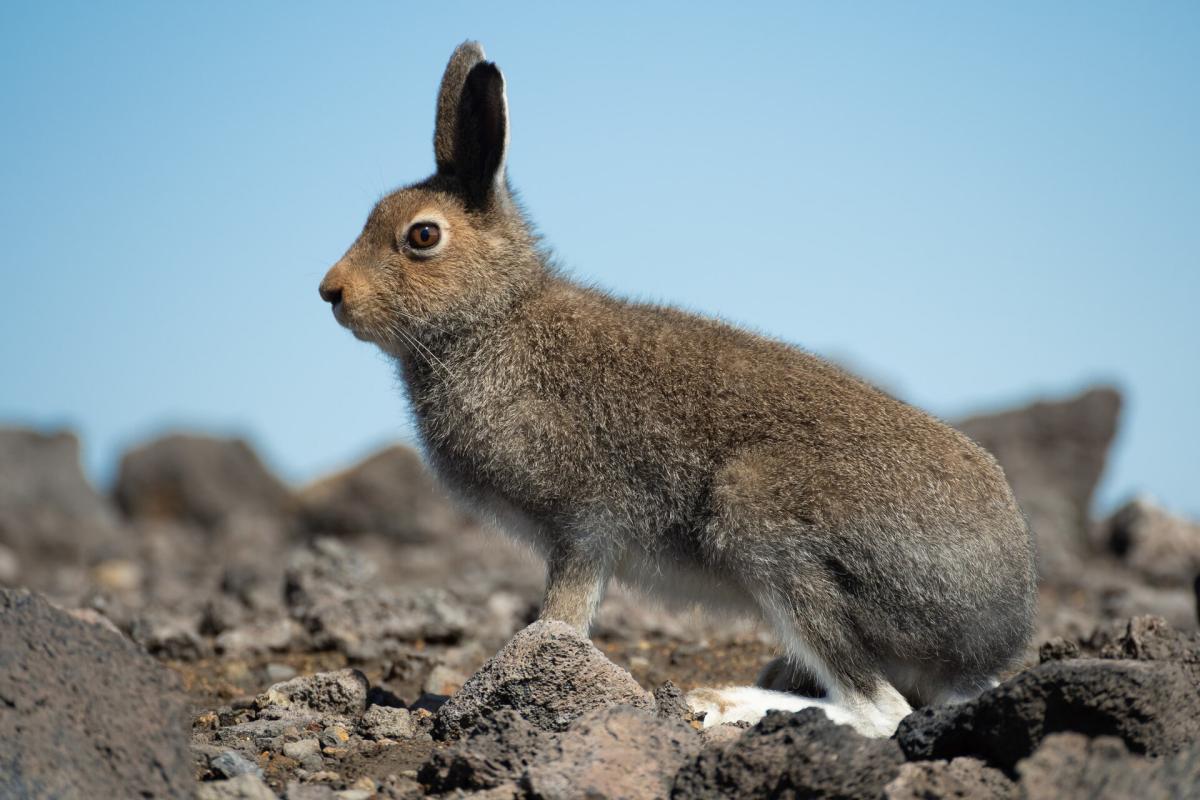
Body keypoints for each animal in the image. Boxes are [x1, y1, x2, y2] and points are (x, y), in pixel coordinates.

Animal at [318, 41, 1037, 738]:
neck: (495, 317)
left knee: (881, 710)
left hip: (763, 521)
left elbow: (559, 619)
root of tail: (998, 625)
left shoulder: (584, 526)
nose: (331, 292)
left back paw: (724, 704)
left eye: (422, 236)